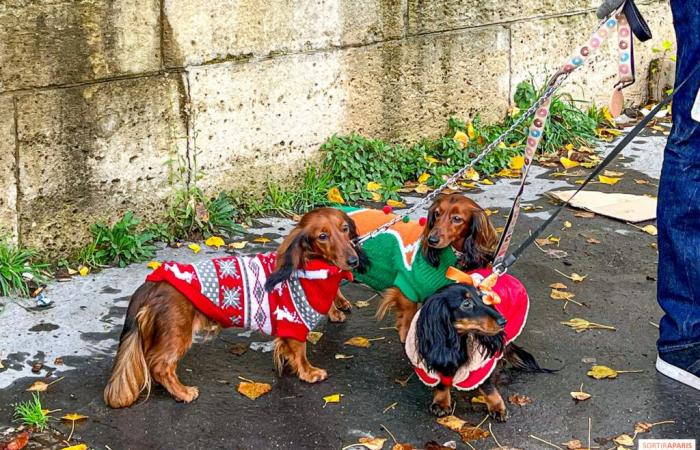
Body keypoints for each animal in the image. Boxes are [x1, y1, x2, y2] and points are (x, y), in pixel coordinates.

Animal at [105, 207, 366, 408]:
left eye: (344, 228)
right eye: (322, 236)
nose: (353, 261)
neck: (306, 266)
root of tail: (153, 283)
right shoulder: (294, 322)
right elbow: (300, 352)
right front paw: (309, 372)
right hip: (177, 332)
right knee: (160, 366)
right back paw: (183, 393)